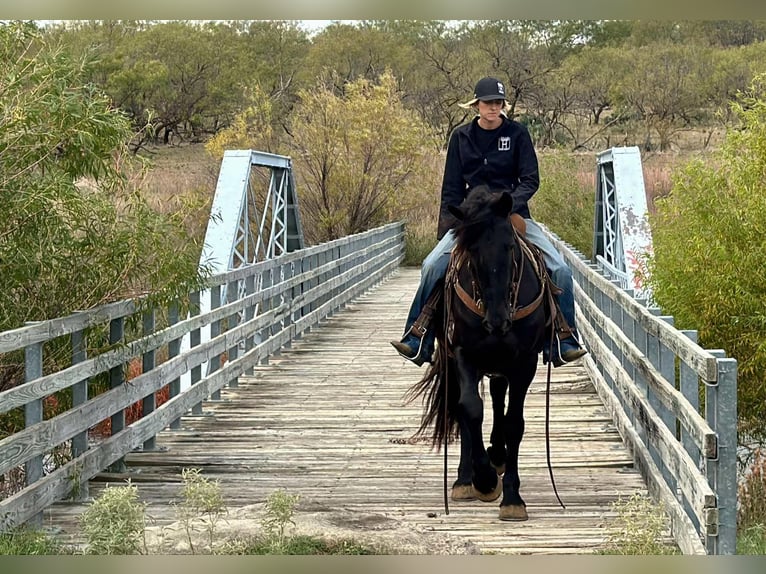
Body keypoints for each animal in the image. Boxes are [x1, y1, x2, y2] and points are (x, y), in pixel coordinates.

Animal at [404, 184, 556, 520]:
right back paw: (465, 480)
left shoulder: (525, 362)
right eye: (471, 252)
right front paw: (484, 480)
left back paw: (497, 456)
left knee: (498, 396)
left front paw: (512, 497)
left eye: (509, 247)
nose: (497, 321)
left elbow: (514, 423)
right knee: (465, 410)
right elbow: (471, 410)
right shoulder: (463, 353)